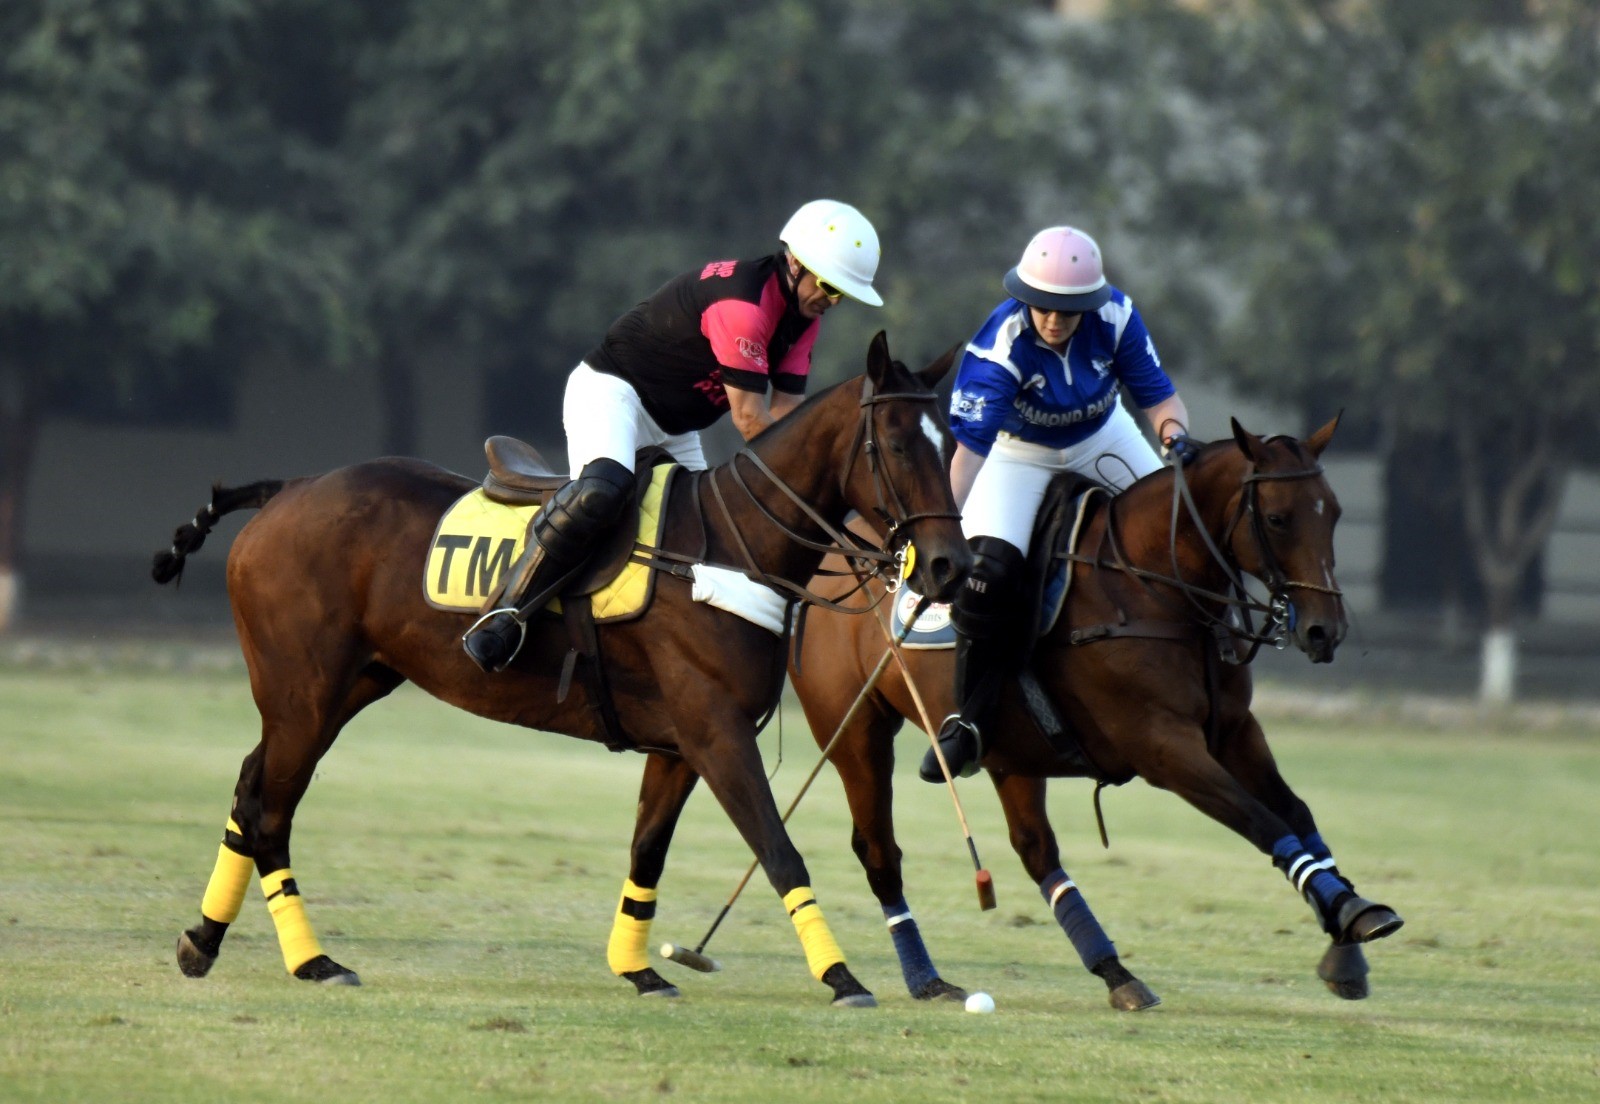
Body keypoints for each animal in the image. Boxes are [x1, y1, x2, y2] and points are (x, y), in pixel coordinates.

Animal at [156, 331, 966, 1004]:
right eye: (898, 445)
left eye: (949, 440)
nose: (949, 568)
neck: (730, 548)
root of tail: (288, 489)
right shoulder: (717, 732)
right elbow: (781, 850)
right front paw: (841, 977)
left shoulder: (680, 743)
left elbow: (647, 851)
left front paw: (639, 969)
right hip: (305, 692)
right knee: (270, 811)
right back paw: (309, 959)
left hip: (345, 685)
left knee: (252, 789)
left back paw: (210, 940)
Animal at [787, 416, 1401, 1004]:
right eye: (1276, 518)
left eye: (1334, 513)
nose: (1324, 631)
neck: (1157, 589)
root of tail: (835, 555)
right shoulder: (1162, 747)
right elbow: (1262, 819)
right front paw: (1348, 915)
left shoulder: (1234, 732)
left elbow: (1296, 813)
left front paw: (1349, 932)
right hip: (856, 732)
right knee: (879, 851)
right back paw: (925, 980)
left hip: (1011, 750)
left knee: (1035, 848)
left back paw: (1114, 972)